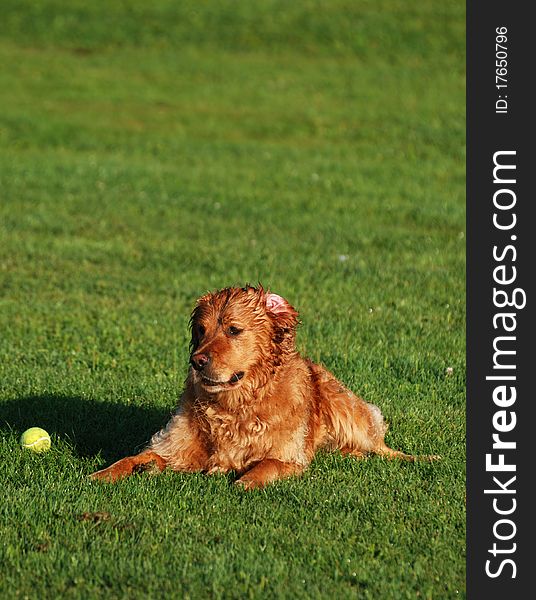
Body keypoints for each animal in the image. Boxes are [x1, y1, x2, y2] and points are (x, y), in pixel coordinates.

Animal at [90, 284, 432, 488]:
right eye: (201, 330)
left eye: (233, 329)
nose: (197, 361)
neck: (234, 406)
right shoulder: (171, 449)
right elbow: (134, 459)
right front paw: (102, 473)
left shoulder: (289, 456)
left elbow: (268, 464)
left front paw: (244, 480)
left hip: (348, 413)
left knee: (382, 447)